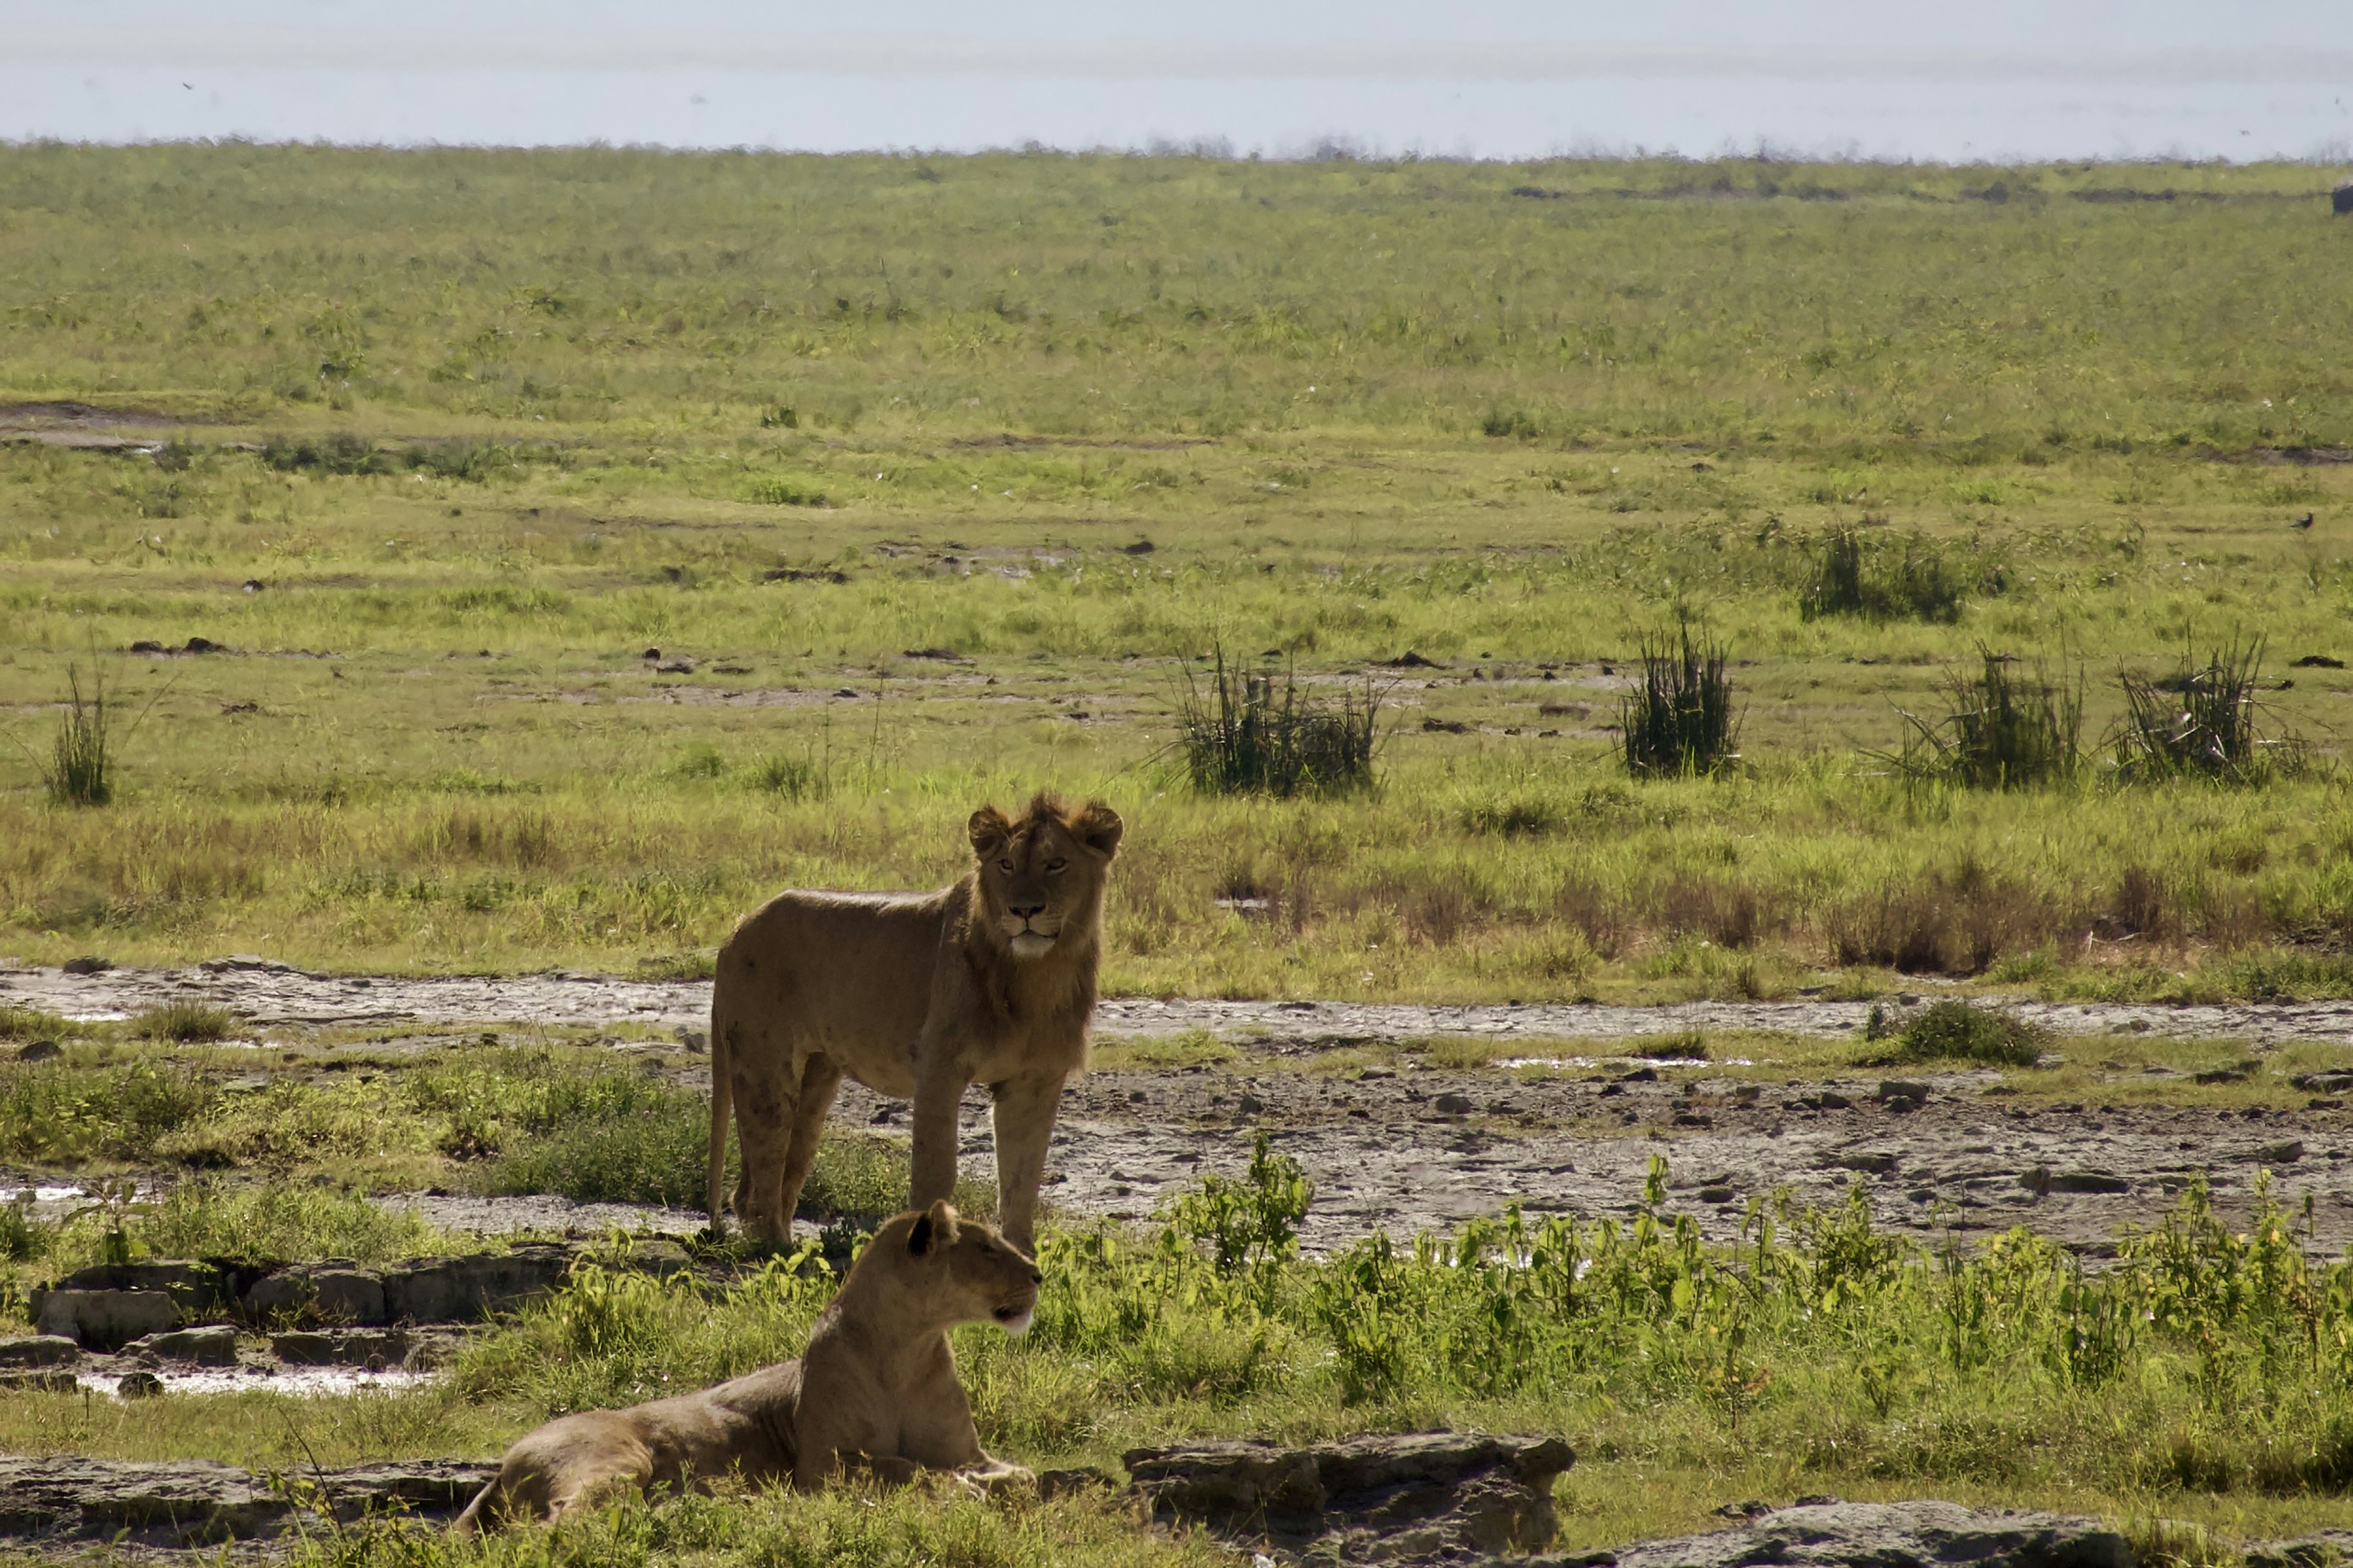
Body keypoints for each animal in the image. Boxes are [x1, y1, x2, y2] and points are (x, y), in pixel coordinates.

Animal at [452, 1200, 1039, 1534]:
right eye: (987, 1248)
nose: (1038, 1273)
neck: (909, 1347)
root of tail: (504, 1462)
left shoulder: (964, 1448)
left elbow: (1022, 1476)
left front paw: (993, 1482)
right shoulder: (821, 1466)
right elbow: (901, 1466)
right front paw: (962, 1488)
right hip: (613, 1459)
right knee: (556, 1524)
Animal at [707, 792, 1123, 1252]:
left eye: (1057, 864)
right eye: (1007, 865)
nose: (1024, 910)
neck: (1037, 975)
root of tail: (737, 928)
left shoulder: (1035, 1081)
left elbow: (1022, 1180)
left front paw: (1022, 1256)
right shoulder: (939, 1066)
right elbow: (936, 1173)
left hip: (816, 1080)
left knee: (770, 1177)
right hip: (765, 1068)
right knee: (764, 1169)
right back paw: (775, 1250)